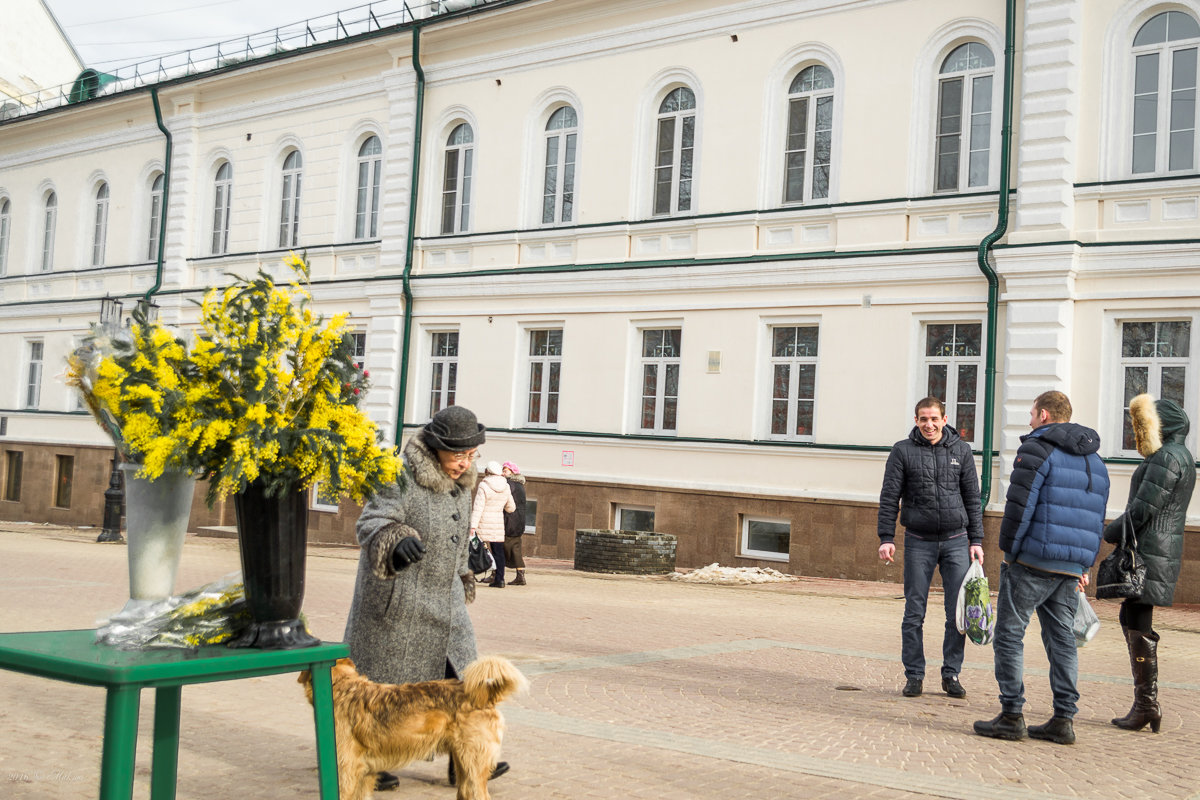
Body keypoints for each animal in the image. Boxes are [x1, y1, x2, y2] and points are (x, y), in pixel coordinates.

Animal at [298, 657, 525, 800]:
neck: (343, 687)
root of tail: (484, 696)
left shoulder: (346, 768)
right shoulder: (365, 773)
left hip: (473, 764)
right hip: (465, 766)